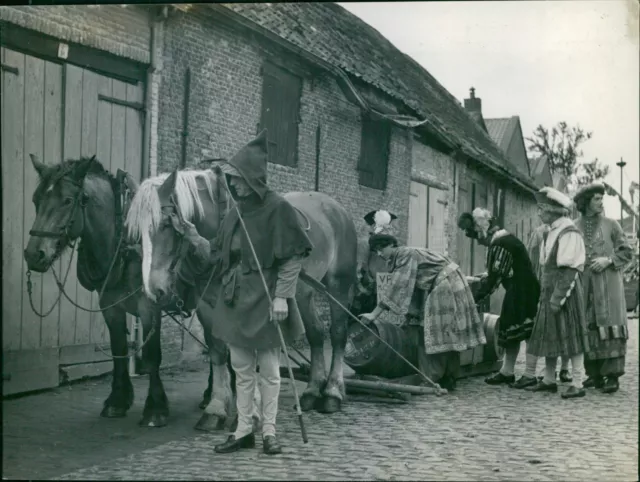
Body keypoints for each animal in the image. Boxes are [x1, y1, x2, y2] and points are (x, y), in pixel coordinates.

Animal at [23, 156, 212, 428]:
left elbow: (152, 355)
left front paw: (155, 408)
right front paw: (117, 400)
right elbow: (118, 349)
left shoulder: (149, 306)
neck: (123, 244)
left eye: (67, 200)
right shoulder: (109, 306)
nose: (33, 254)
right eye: (36, 199)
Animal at [122, 165, 358, 422]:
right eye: (136, 231)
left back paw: (333, 392)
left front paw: (246, 407)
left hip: (339, 284)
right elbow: (217, 350)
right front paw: (216, 407)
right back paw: (312, 391)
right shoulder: (205, 304)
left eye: (166, 224)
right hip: (303, 292)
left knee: (338, 334)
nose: (154, 290)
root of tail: (336, 208)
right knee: (316, 333)